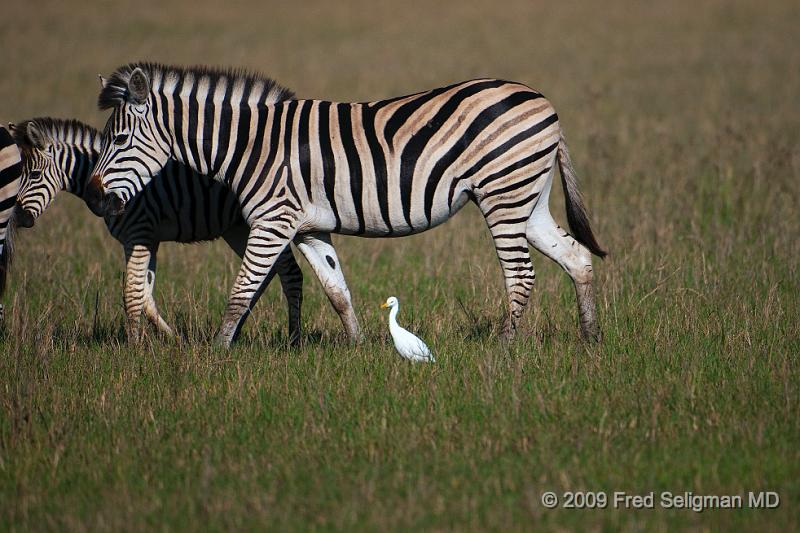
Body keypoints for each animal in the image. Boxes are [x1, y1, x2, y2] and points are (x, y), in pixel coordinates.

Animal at [9, 116, 360, 340]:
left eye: (35, 176)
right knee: (273, 275)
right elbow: (145, 295)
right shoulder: (147, 239)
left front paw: (136, 346)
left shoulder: (138, 233)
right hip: (238, 229)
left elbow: (133, 292)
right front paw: (171, 339)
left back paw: (291, 338)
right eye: (18, 175)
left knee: (287, 273)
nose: (21, 219)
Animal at [90, 62, 608, 348]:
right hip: (528, 198)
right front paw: (359, 349)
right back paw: (590, 341)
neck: (250, 145)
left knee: (521, 275)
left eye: (118, 140)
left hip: (503, 194)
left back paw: (503, 349)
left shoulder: (273, 221)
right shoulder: (308, 228)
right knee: (577, 258)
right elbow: (337, 290)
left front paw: (216, 354)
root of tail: (543, 102)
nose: (95, 195)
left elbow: (242, 292)